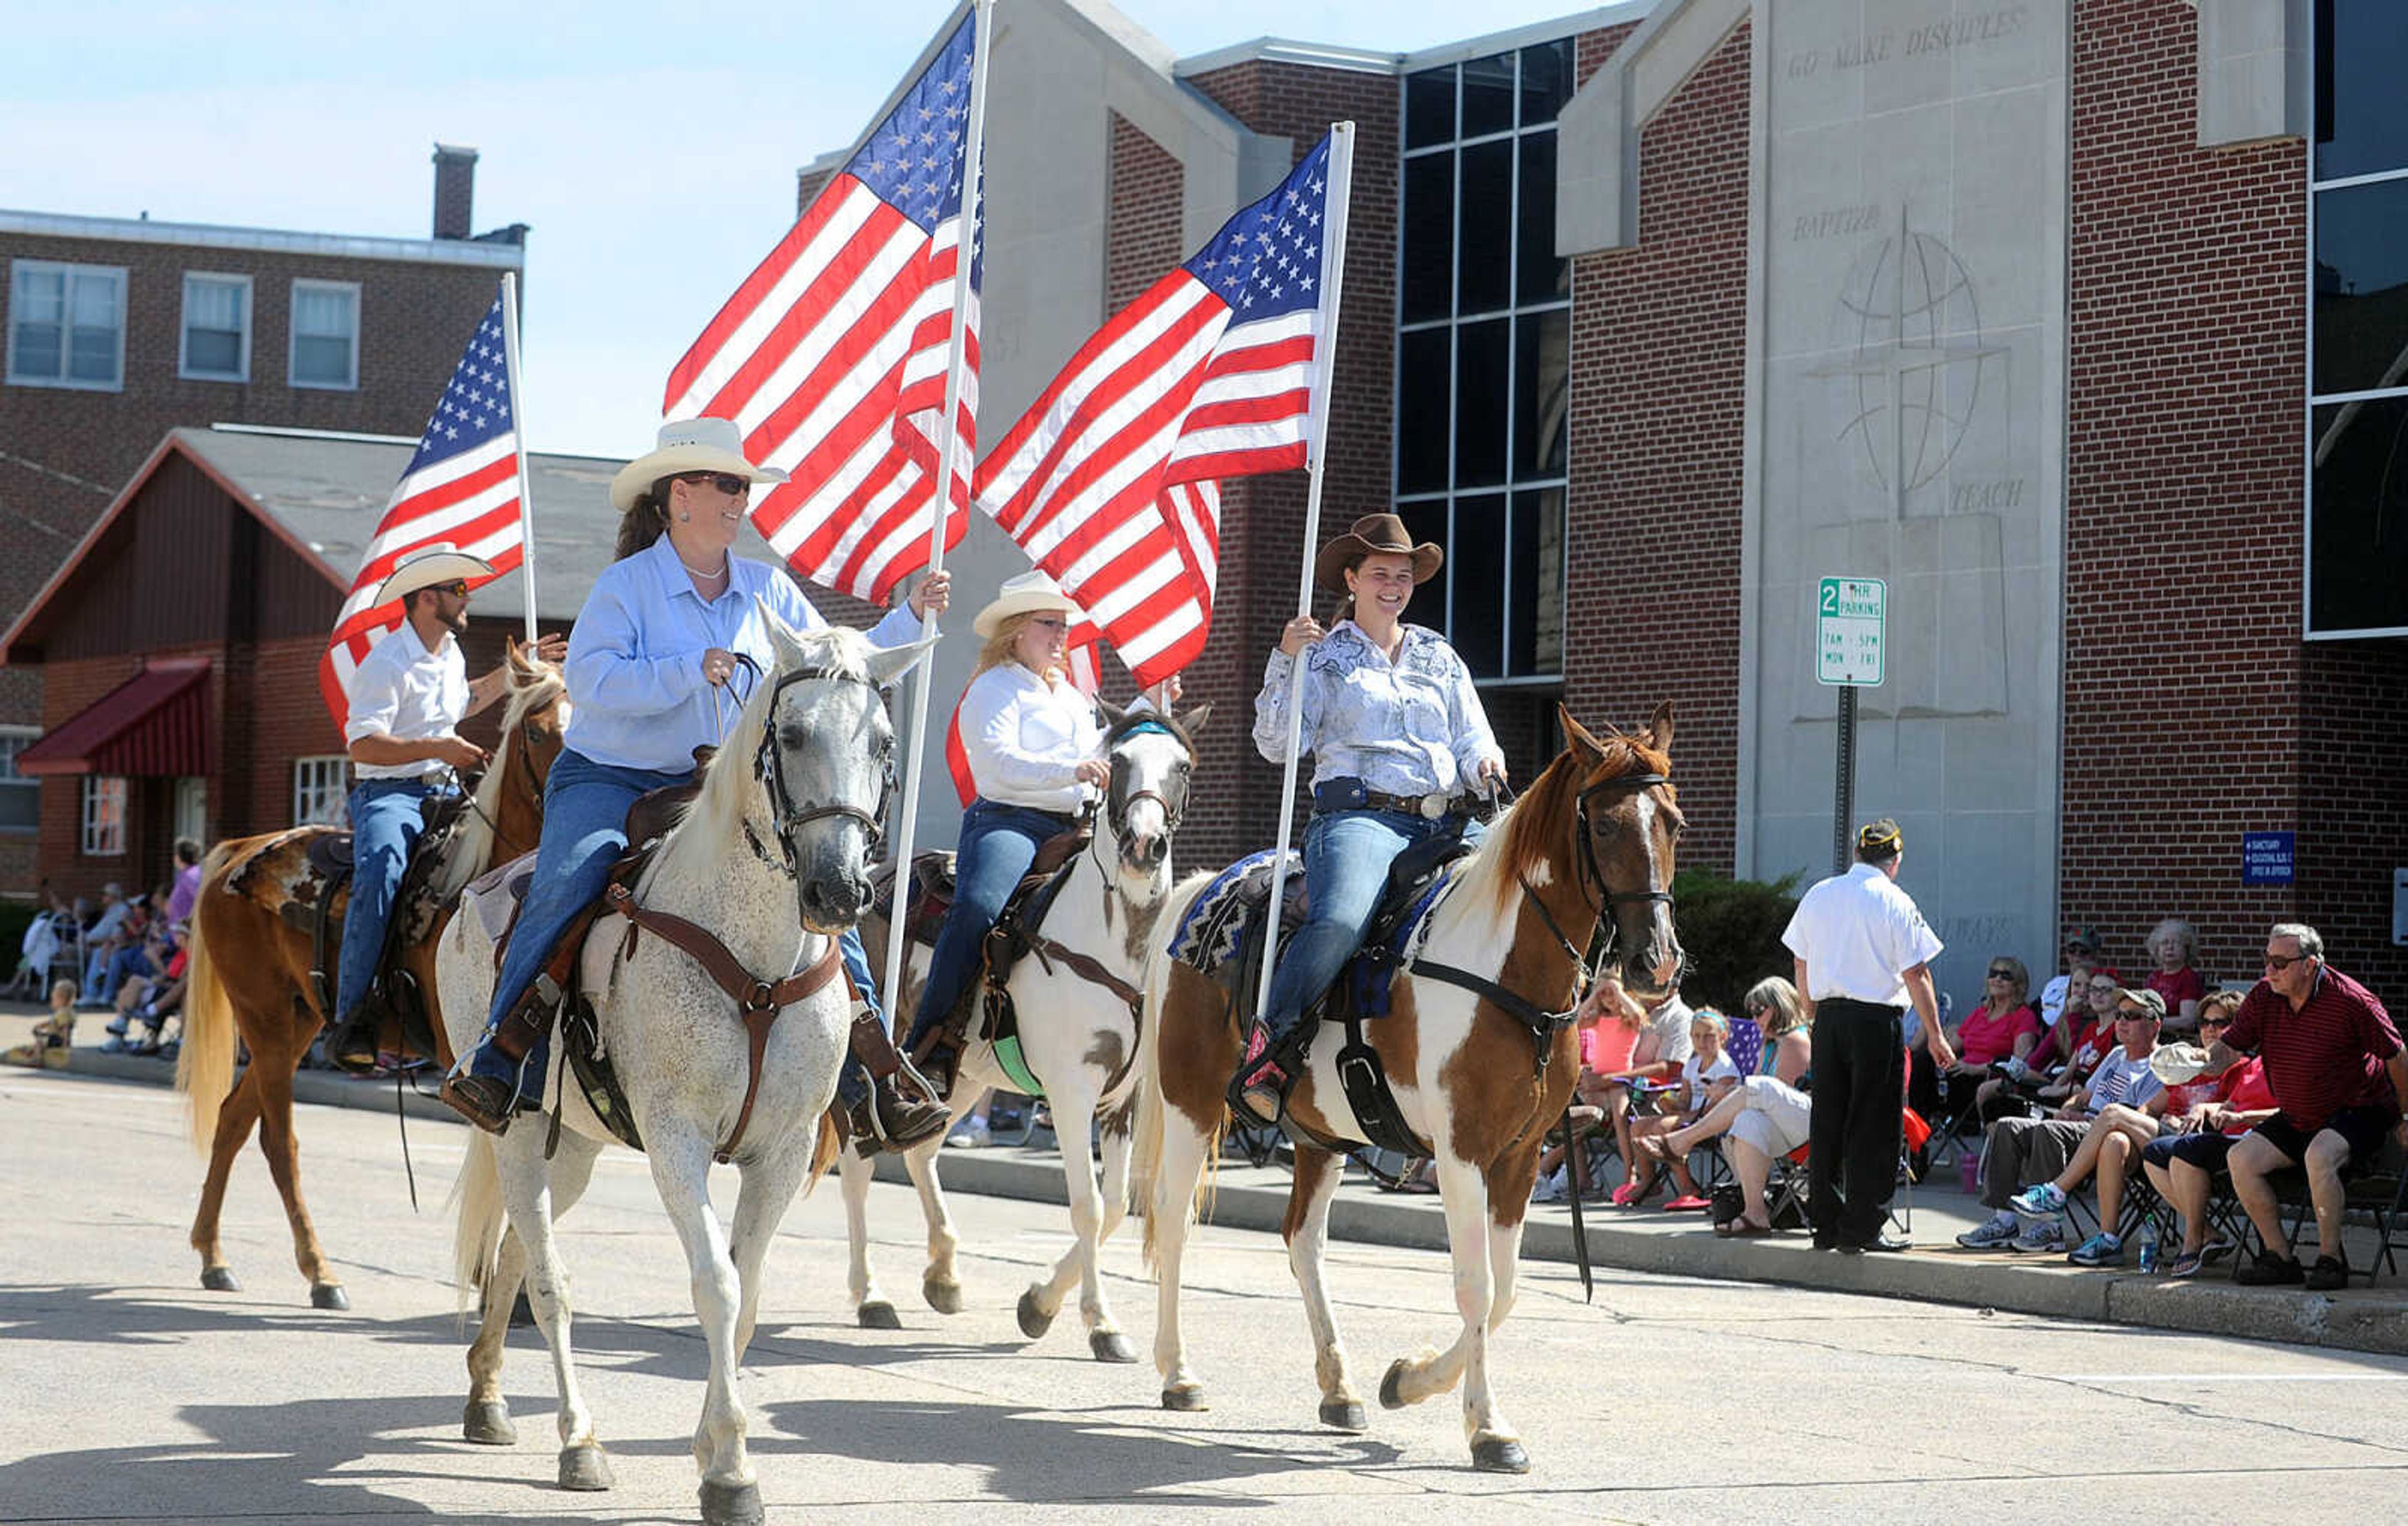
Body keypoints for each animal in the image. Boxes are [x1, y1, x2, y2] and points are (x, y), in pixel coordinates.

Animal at [174, 635, 568, 1300]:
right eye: (537, 732)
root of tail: (243, 850)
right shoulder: (470, 1057)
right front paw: (497, 1289)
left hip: (299, 1022)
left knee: (232, 1121)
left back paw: (213, 1257)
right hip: (266, 1021)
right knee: (278, 1140)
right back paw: (320, 1271)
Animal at [438, 616, 924, 1521]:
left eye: (882, 742)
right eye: (793, 734)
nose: (838, 891)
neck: (754, 960)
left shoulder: (783, 1150)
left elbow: (746, 1297)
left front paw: (715, 1447)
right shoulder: (677, 1141)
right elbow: (717, 1287)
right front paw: (730, 1471)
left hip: (575, 1147)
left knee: (519, 1253)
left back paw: (488, 1398)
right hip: (519, 1130)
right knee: (547, 1279)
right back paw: (579, 1440)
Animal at [843, 703, 1213, 1357]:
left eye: (1183, 767)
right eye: (1118, 762)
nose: (1145, 845)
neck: (1114, 940)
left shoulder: (1121, 1099)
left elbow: (1115, 1207)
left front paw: (1039, 1304)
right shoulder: (1070, 1092)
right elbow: (1087, 1207)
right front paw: (1102, 1324)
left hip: (961, 1075)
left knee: (922, 1153)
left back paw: (944, 1276)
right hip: (873, 1063)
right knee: (858, 1165)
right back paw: (871, 1297)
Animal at [1136, 703, 1686, 1473]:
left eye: (1674, 823)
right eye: (1604, 827)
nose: (1655, 962)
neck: (1506, 973)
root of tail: (1203, 885)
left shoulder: (1519, 1157)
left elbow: (1506, 1289)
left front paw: (1409, 1379)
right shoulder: (1461, 1152)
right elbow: (1475, 1285)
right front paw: (1489, 1429)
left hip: (1319, 1133)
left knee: (1303, 1240)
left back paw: (1340, 1388)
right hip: (1189, 1101)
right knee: (1174, 1218)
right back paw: (1179, 1374)